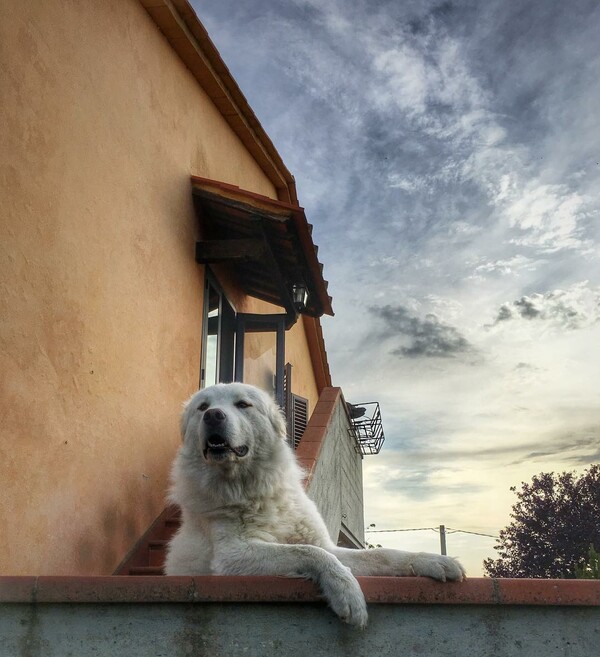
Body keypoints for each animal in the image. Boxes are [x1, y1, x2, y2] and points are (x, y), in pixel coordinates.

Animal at [164, 382, 464, 628]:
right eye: (203, 407)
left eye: (242, 404)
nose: (213, 415)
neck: (256, 492)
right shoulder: (233, 555)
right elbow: (310, 553)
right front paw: (347, 592)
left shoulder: (331, 546)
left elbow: (381, 555)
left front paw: (430, 560)